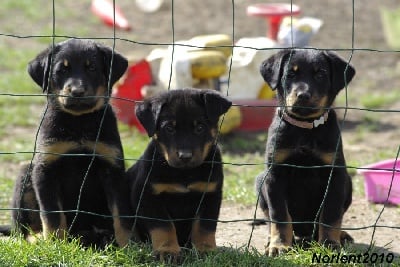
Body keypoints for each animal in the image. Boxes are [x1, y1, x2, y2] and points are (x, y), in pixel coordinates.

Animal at [10, 38, 133, 248]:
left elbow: (121, 214)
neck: (78, 122)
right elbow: (52, 215)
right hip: (25, 175)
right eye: (62, 70)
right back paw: (39, 238)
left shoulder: (112, 168)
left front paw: (129, 246)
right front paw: (55, 244)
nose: (77, 91)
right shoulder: (46, 168)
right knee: (23, 230)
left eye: (92, 68)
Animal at [126, 88, 233, 262]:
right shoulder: (149, 195)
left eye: (200, 128)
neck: (184, 173)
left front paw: (205, 250)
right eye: (169, 128)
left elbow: (204, 226)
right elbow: (164, 226)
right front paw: (168, 252)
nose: (185, 156)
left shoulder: (210, 194)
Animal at [255, 49, 354, 258]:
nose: (303, 95)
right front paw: (279, 245)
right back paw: (271, 239)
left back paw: (342, 235)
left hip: (348, 182)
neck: (304, 129)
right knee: (271, 219)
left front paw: (330, 243)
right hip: (260, 181)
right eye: (290, 74)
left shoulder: (334, 175)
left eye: (320, 74)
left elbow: (331, 214)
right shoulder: (275, 175)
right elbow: (279, 215)